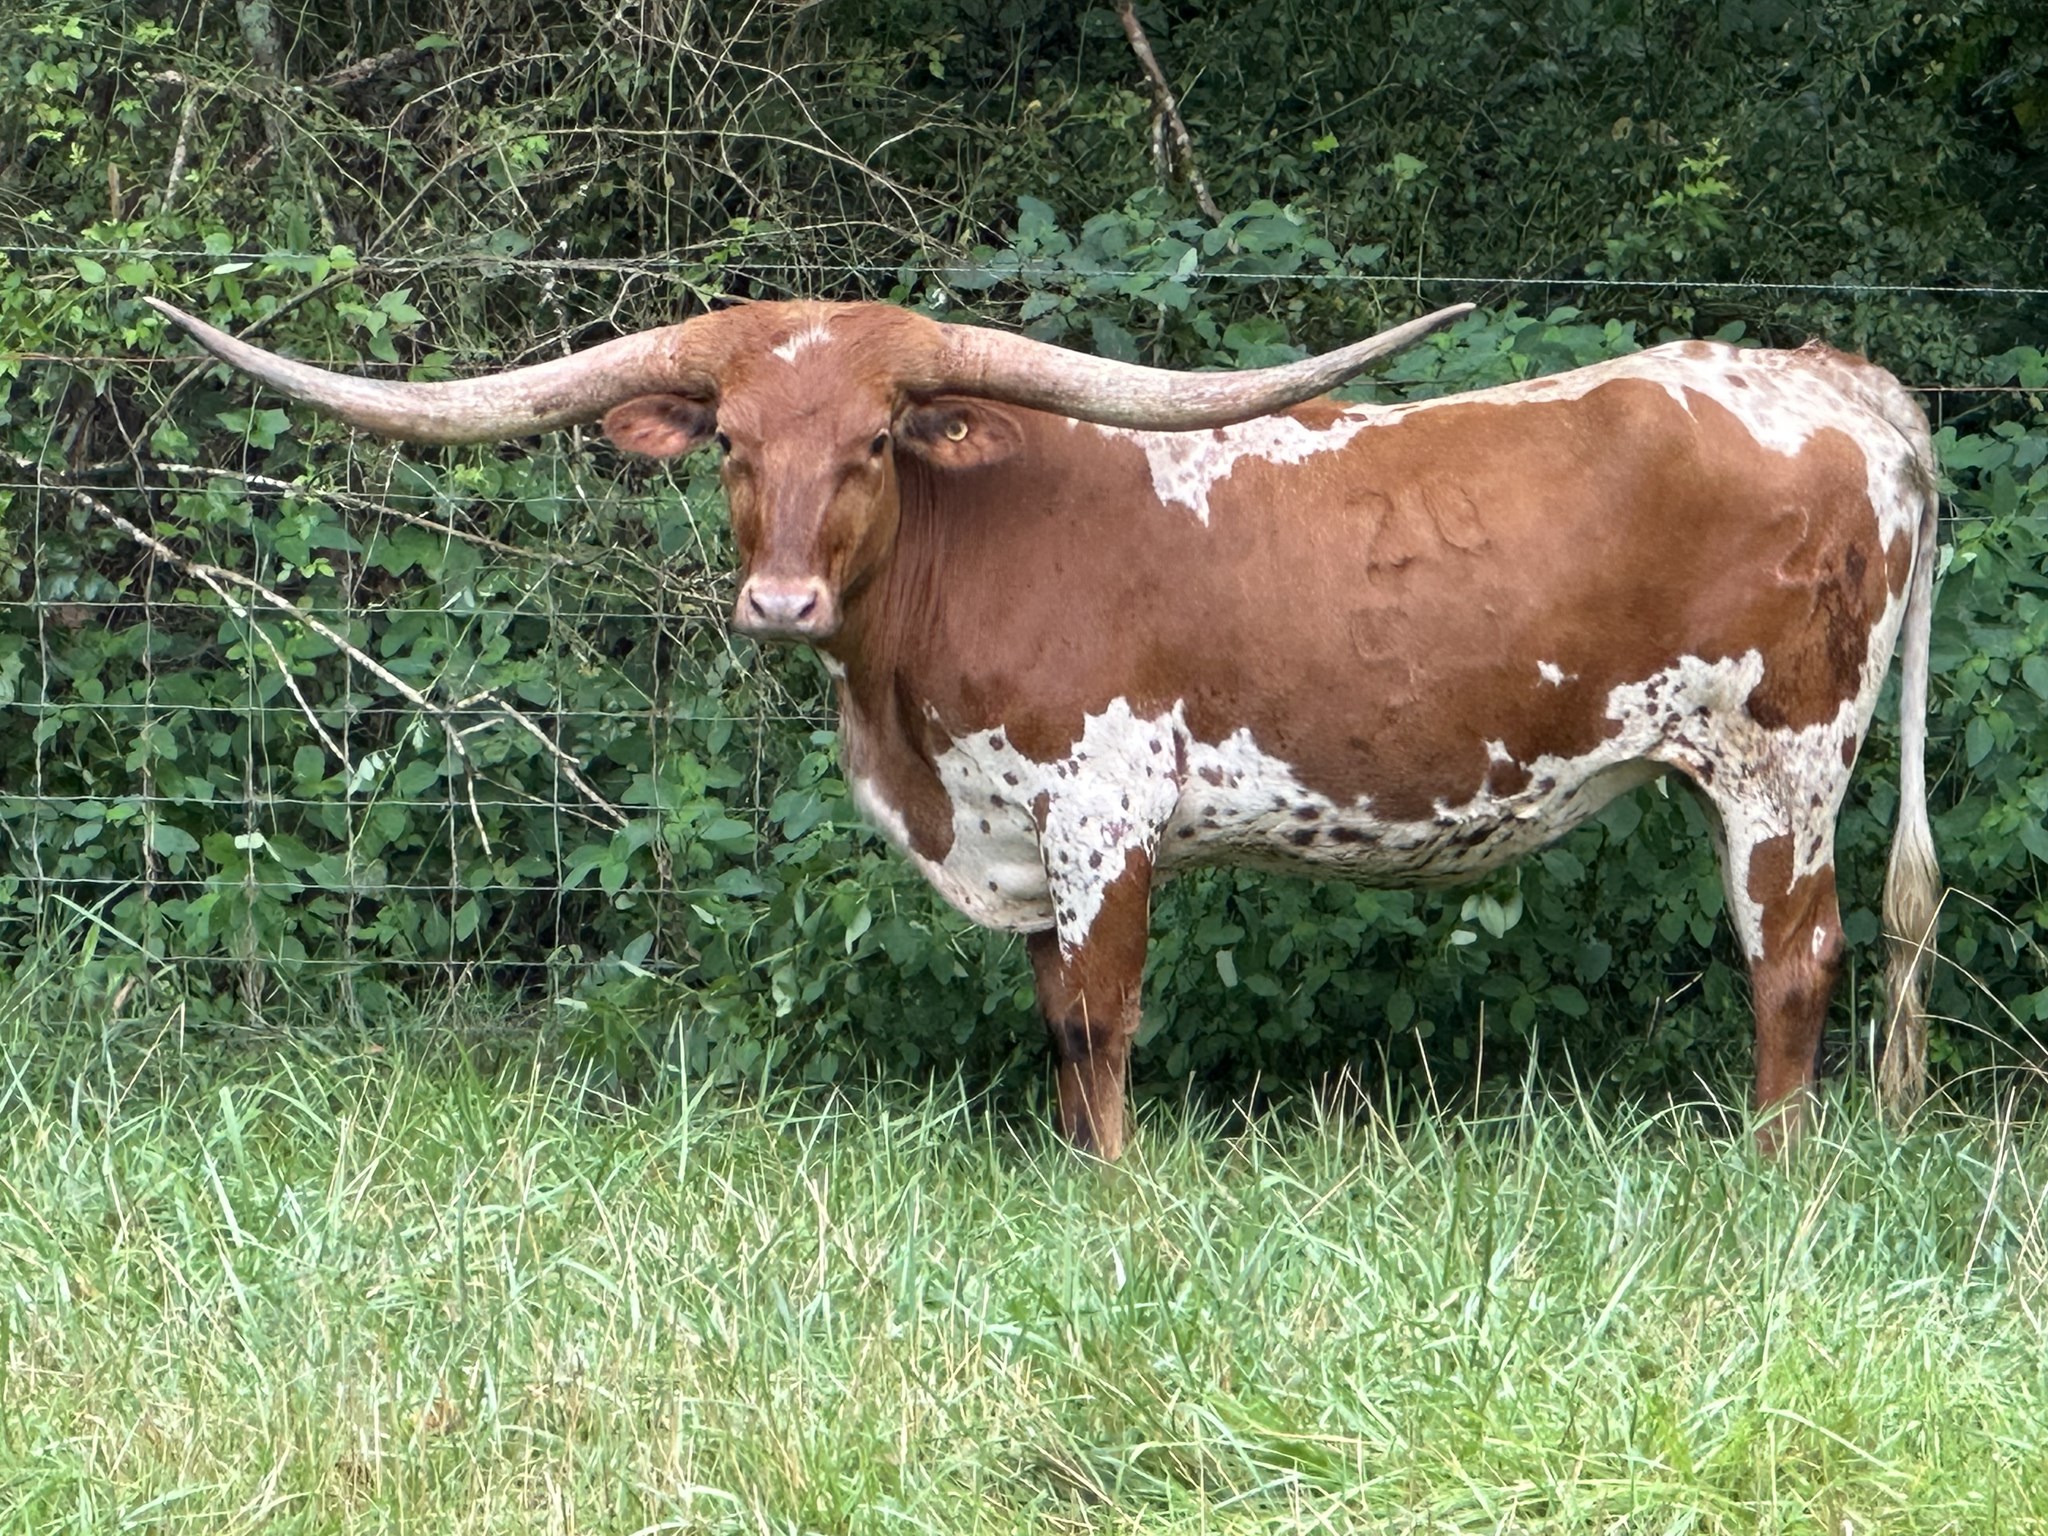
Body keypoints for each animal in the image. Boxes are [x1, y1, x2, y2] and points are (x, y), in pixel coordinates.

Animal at [148, 294, 1940, 1160]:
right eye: (729, 441)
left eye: (877, 439)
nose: (779, 603)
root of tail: (1841, 385)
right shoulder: (1013, 830)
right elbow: (1048, 1023)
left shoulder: (1102, 812)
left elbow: (1096, 1021)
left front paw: (1116, 1195)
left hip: (1781, 763)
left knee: (1796, 960)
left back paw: (1769, 1176)